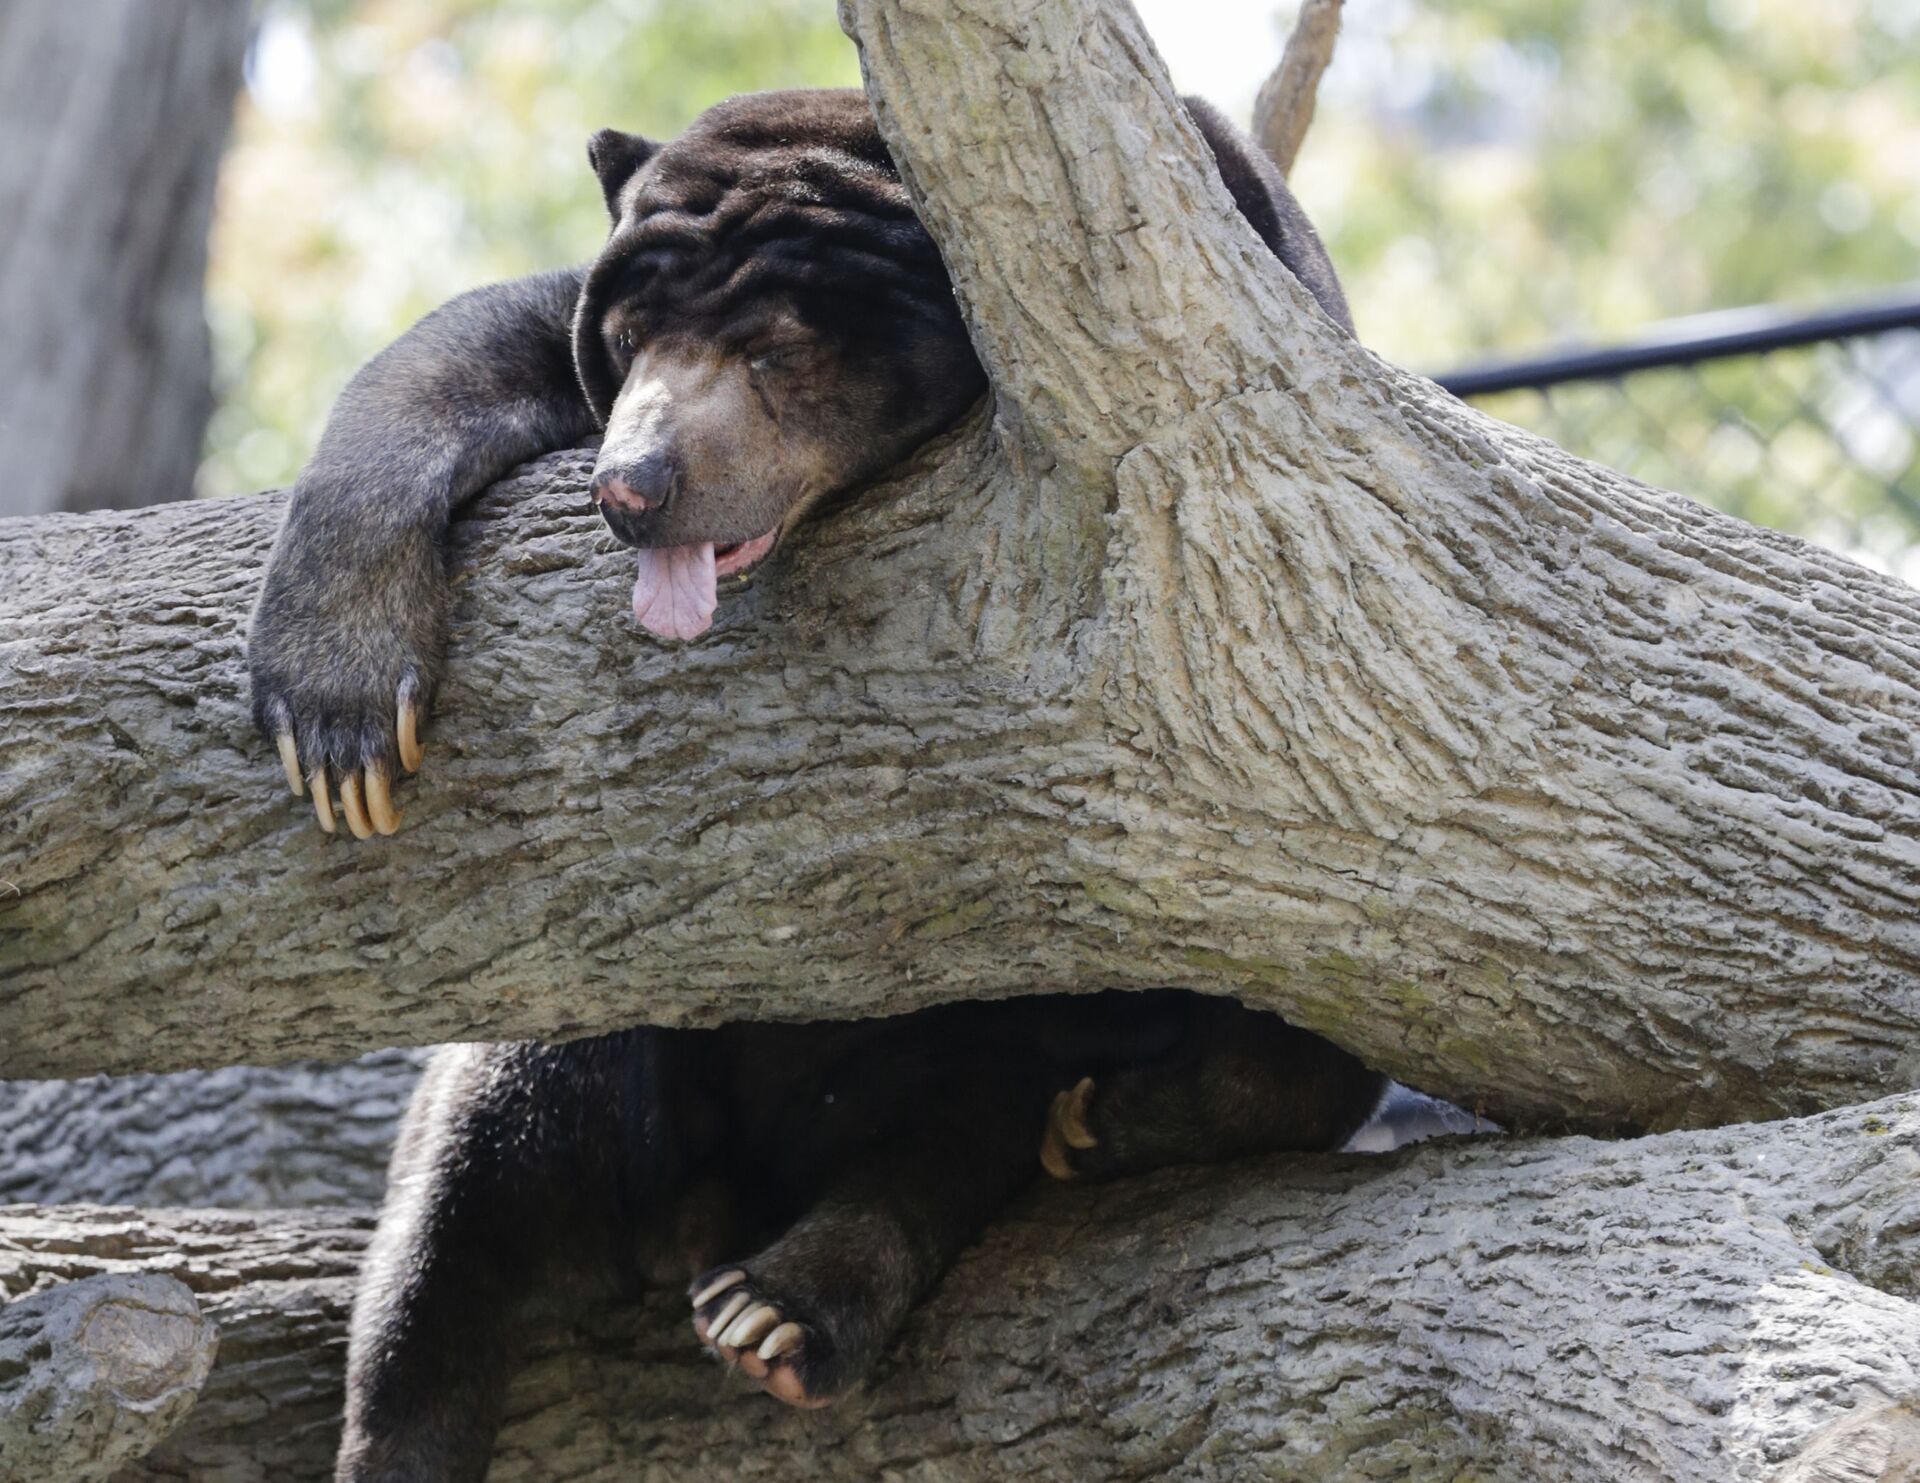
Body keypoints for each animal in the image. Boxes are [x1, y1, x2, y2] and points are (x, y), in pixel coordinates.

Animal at [247, 92, 1374, 1483]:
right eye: (632, 344)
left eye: (779, 348)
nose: (633, 490)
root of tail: (703, 1205)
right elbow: (469, 345)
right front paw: (343, 726)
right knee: (464, 1204)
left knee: (953, 1125)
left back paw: (789, 1305)